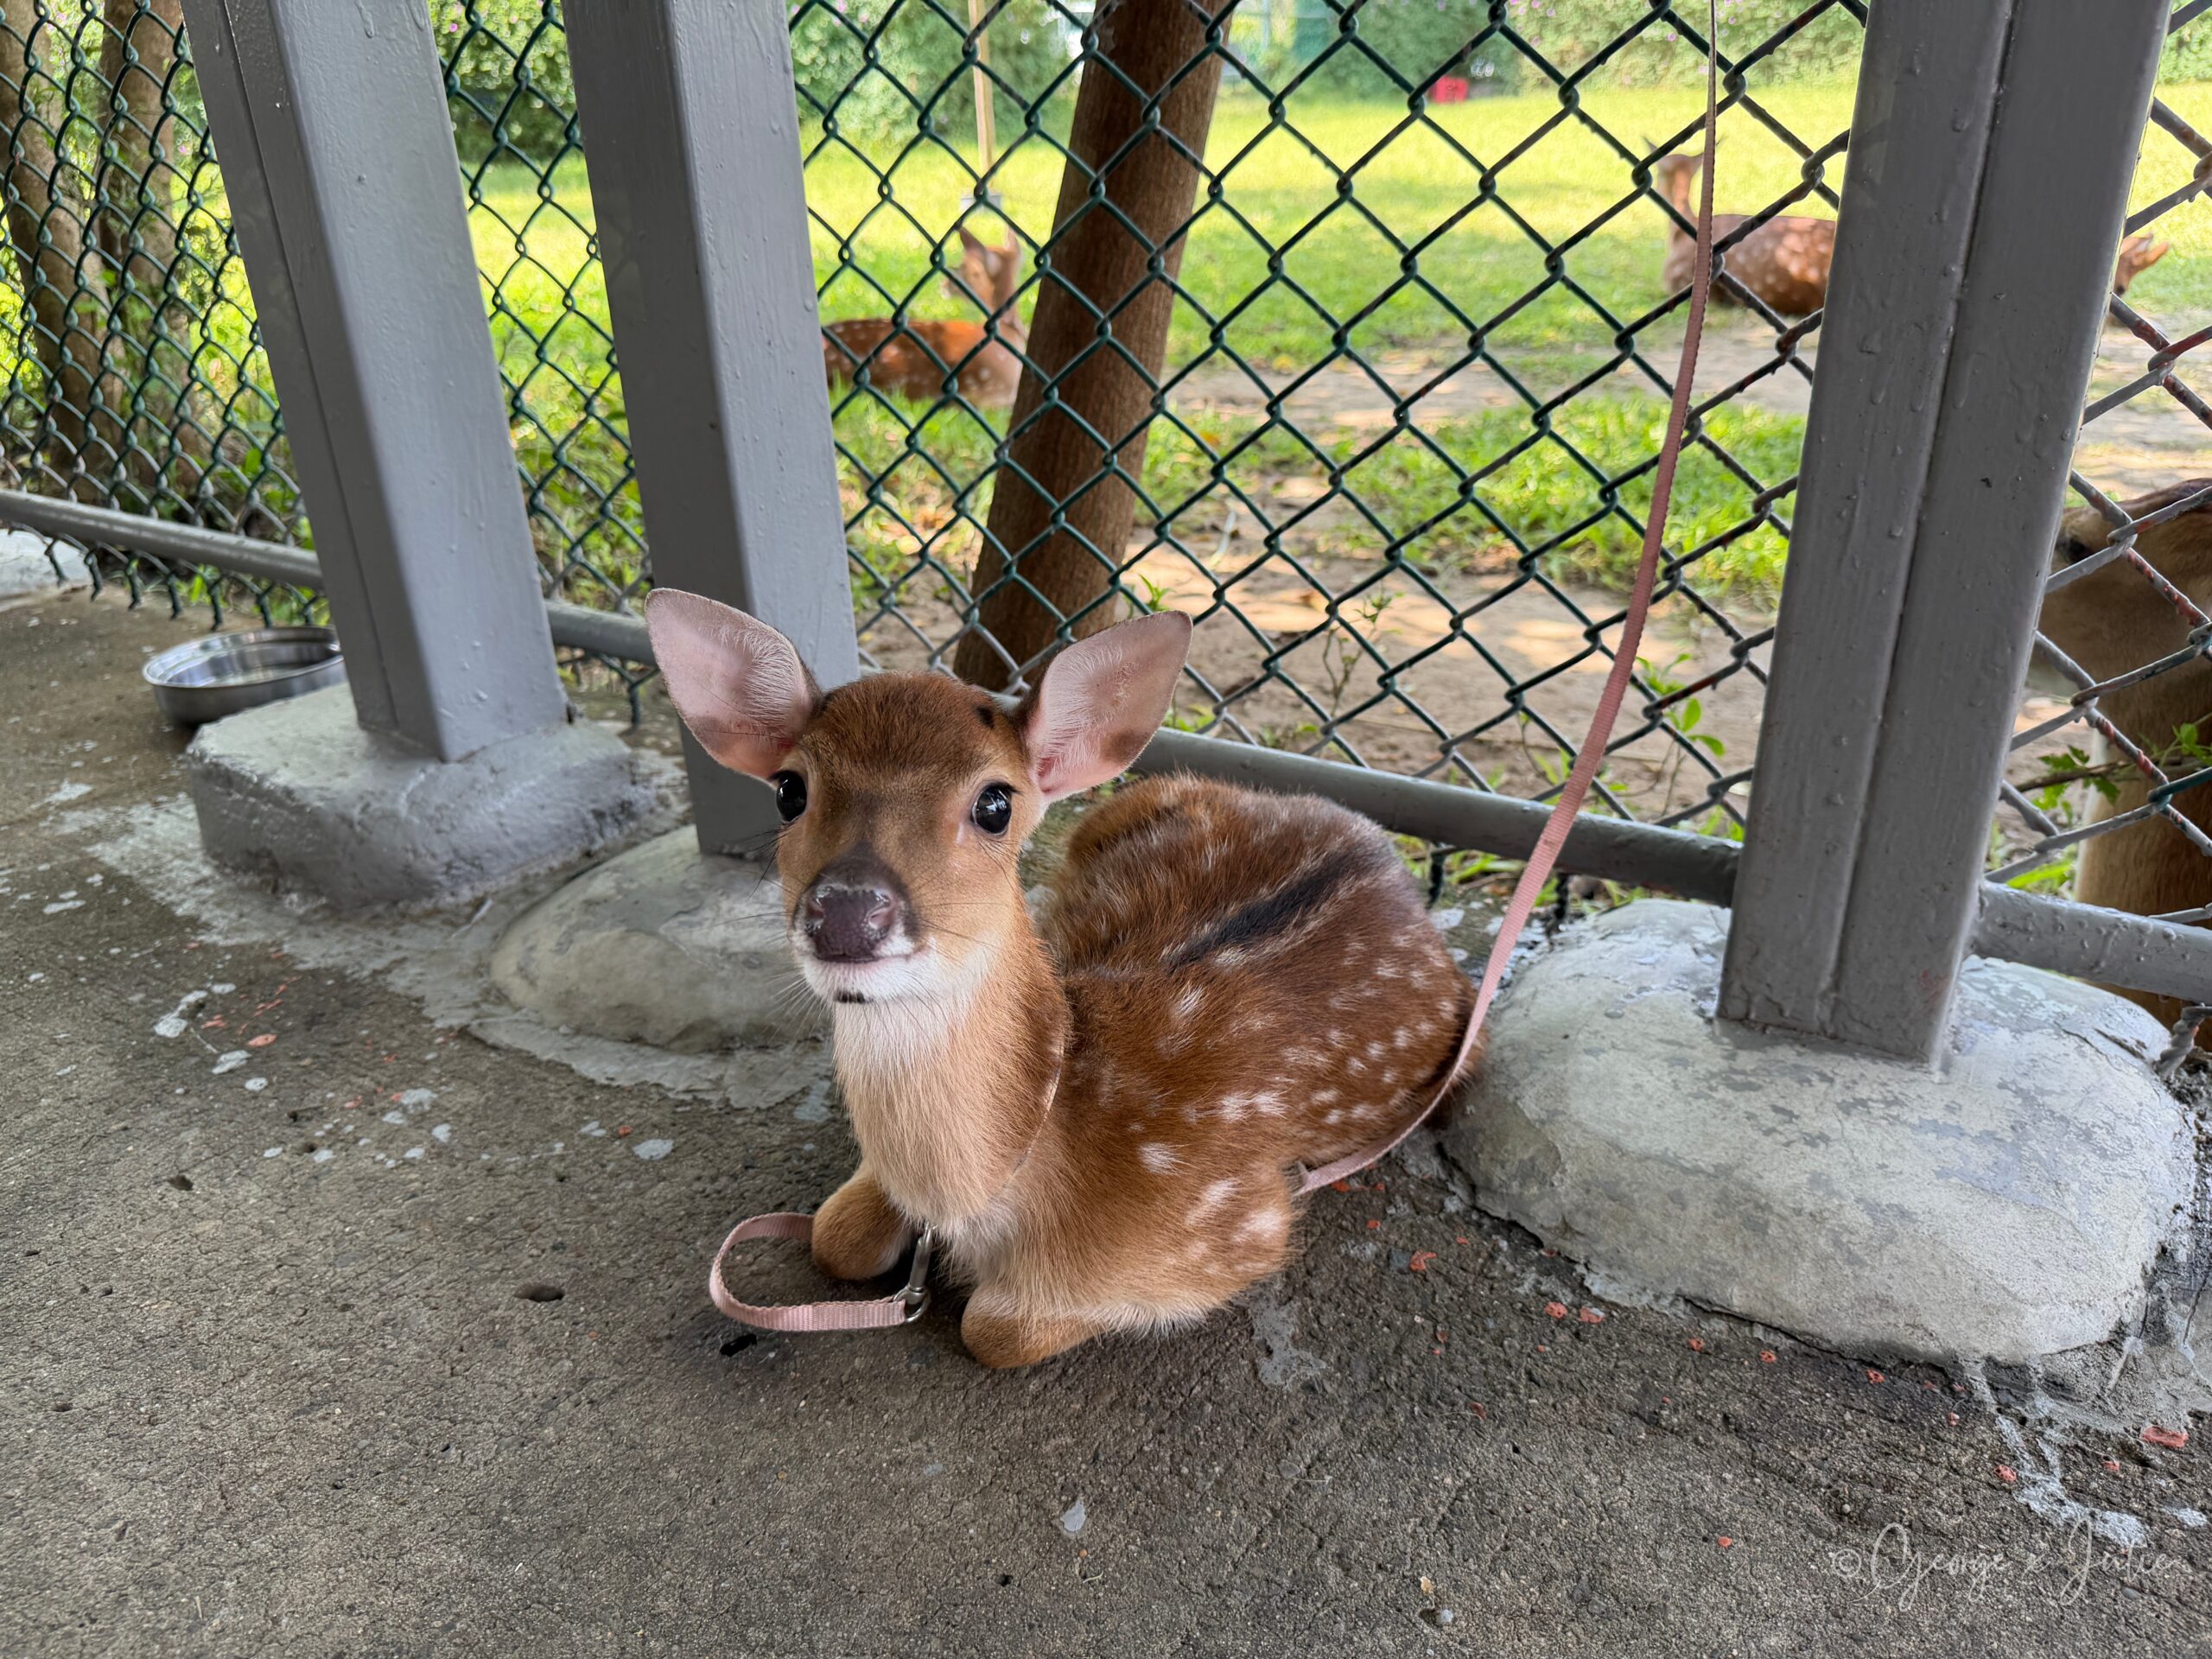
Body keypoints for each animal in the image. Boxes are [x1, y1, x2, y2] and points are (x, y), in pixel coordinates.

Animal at [644, 591, 1475, 1368]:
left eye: (994, 803)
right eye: (789, 788)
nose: (847, 912)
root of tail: (1382, 847)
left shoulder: (1236, 1224)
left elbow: (994, 1329)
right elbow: (833, 1234)